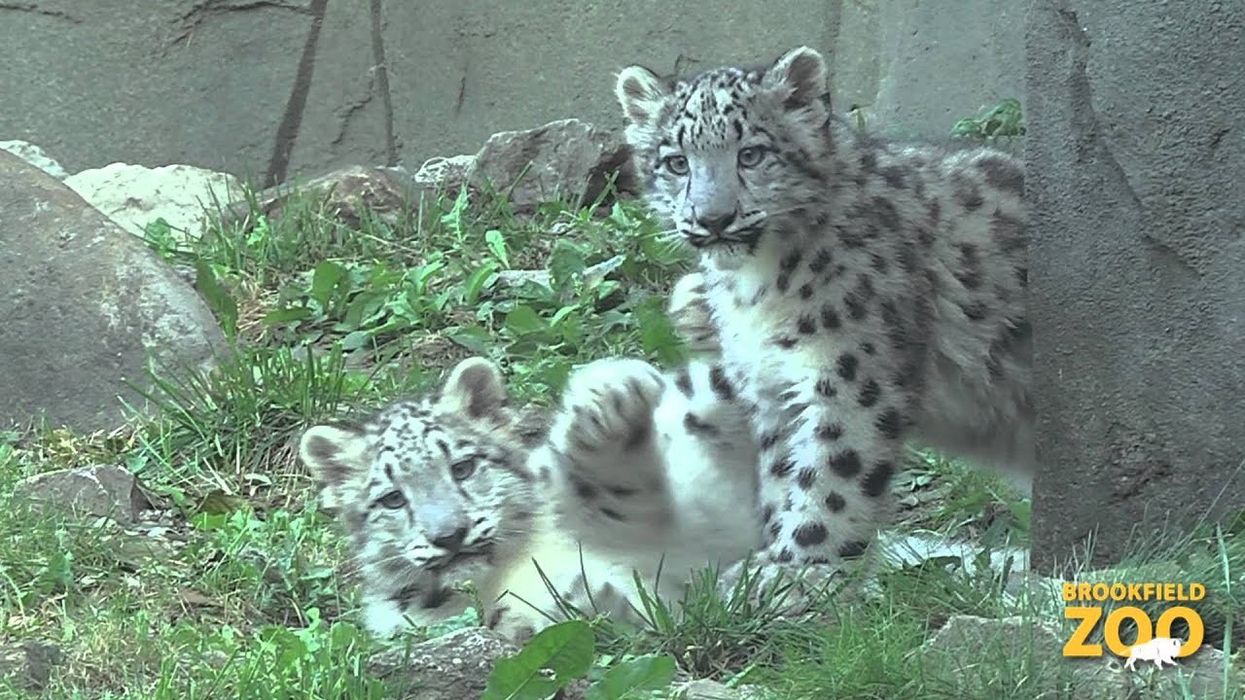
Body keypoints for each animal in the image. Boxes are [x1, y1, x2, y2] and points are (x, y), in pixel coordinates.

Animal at [613, 45, 1032, 605]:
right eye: (676, 162)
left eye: (752, 154)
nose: (713, 218)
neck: (757, 287)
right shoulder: (772, 383)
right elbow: (784, 470)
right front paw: (769, 558)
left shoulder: (851, 371)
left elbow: (833, 472)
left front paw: (795, 570)